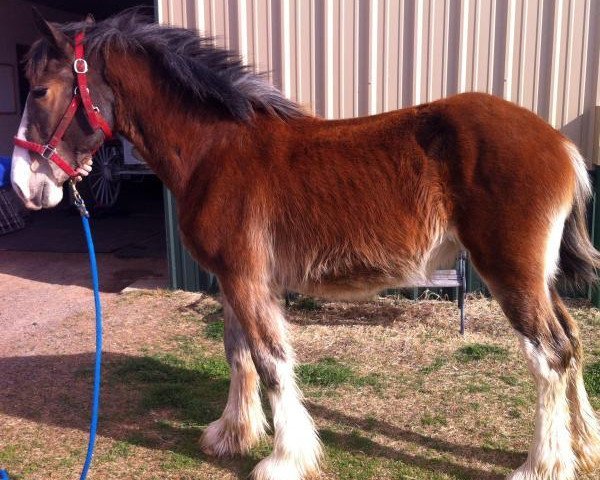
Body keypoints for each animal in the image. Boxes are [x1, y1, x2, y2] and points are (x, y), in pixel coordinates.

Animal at [9, 8, 600, 480]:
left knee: (550, 355)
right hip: (538, 278)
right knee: (572, 343)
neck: (214, 150)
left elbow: (270, 361)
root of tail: (561, 145)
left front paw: (283, 459)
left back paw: (542, 465)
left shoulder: (247, 280)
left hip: (511, 275)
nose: (21, 187)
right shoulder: (235, 280)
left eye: (39, 90)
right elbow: (238, 355)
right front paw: (231, 434)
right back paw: (584, 447)